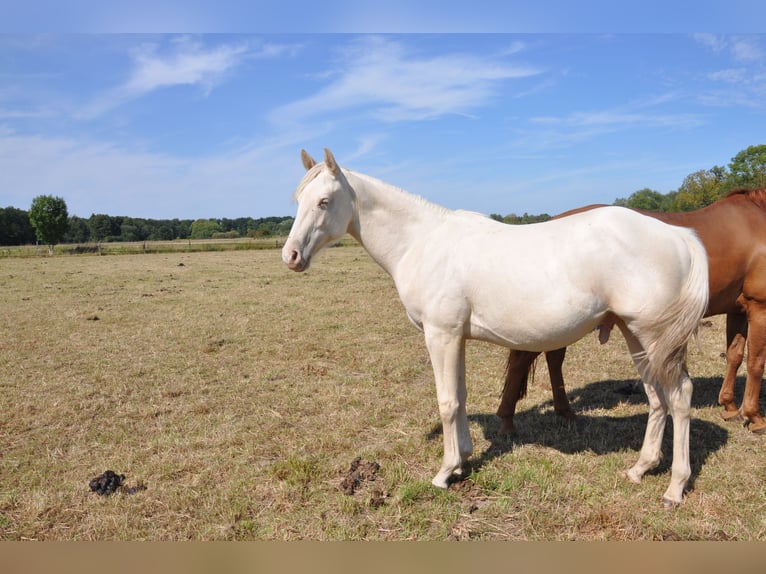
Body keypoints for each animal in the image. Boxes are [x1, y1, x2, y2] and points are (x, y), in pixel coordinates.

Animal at [282, 148, 709, 507]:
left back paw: (675, 487)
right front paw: (463, 461)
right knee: (657, 398)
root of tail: (677, 235)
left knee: (680, 396)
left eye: (324, 201)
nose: (291, 256)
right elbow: (461, 395)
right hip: (636, 336)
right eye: (298, 200)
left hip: (654, 336)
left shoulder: (440, 335)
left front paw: (444, 473)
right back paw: (640, 469)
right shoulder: (456, 338)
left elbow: (447, 402)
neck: (423, 242)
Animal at [497, 189, 766, 436]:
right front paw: (754, 417)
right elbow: (756, 362)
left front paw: (730, 406)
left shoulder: (738, 310)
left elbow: (735, 356)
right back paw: (508, 421)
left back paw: (563, 413)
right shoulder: (759, 307)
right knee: (524, 359)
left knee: (552, 358)